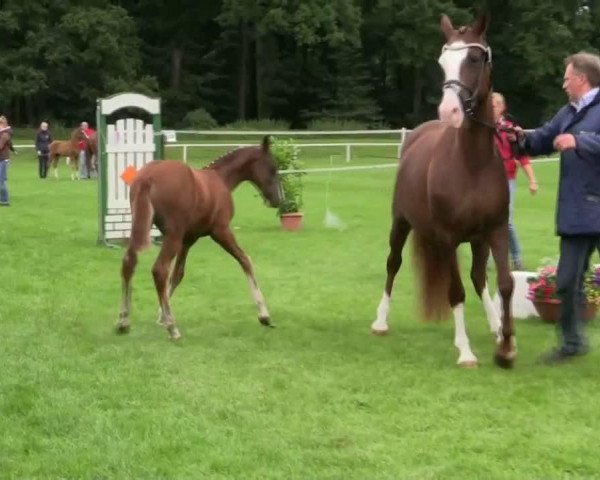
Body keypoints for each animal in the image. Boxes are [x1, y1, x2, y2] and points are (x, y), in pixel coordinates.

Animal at [118, 134, 284, 338]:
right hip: (172, 235)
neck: (221, 179)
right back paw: (173, 328)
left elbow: (178, 274)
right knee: (159, 269)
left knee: (129, 263)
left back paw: (124, 321)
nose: (278, 200)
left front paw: (160, 316)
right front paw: (264, 315)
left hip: (140, 227)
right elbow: (245, 260)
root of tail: (147, 178)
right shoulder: (221, 231)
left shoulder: (188, 240)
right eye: (273, 168)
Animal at [370, 14, 516, 368]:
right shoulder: (449, 237)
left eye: (475, 58)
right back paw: (380, 321)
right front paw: (465, 351)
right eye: (442, 62)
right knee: (392, 264)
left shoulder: (494, 231)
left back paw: (494, 326)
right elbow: (456, 292)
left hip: (476, 240)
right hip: (401, 224)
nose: (448, 111)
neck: (472, 164)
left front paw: (505, 346)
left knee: (479, 277)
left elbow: (504, 284)